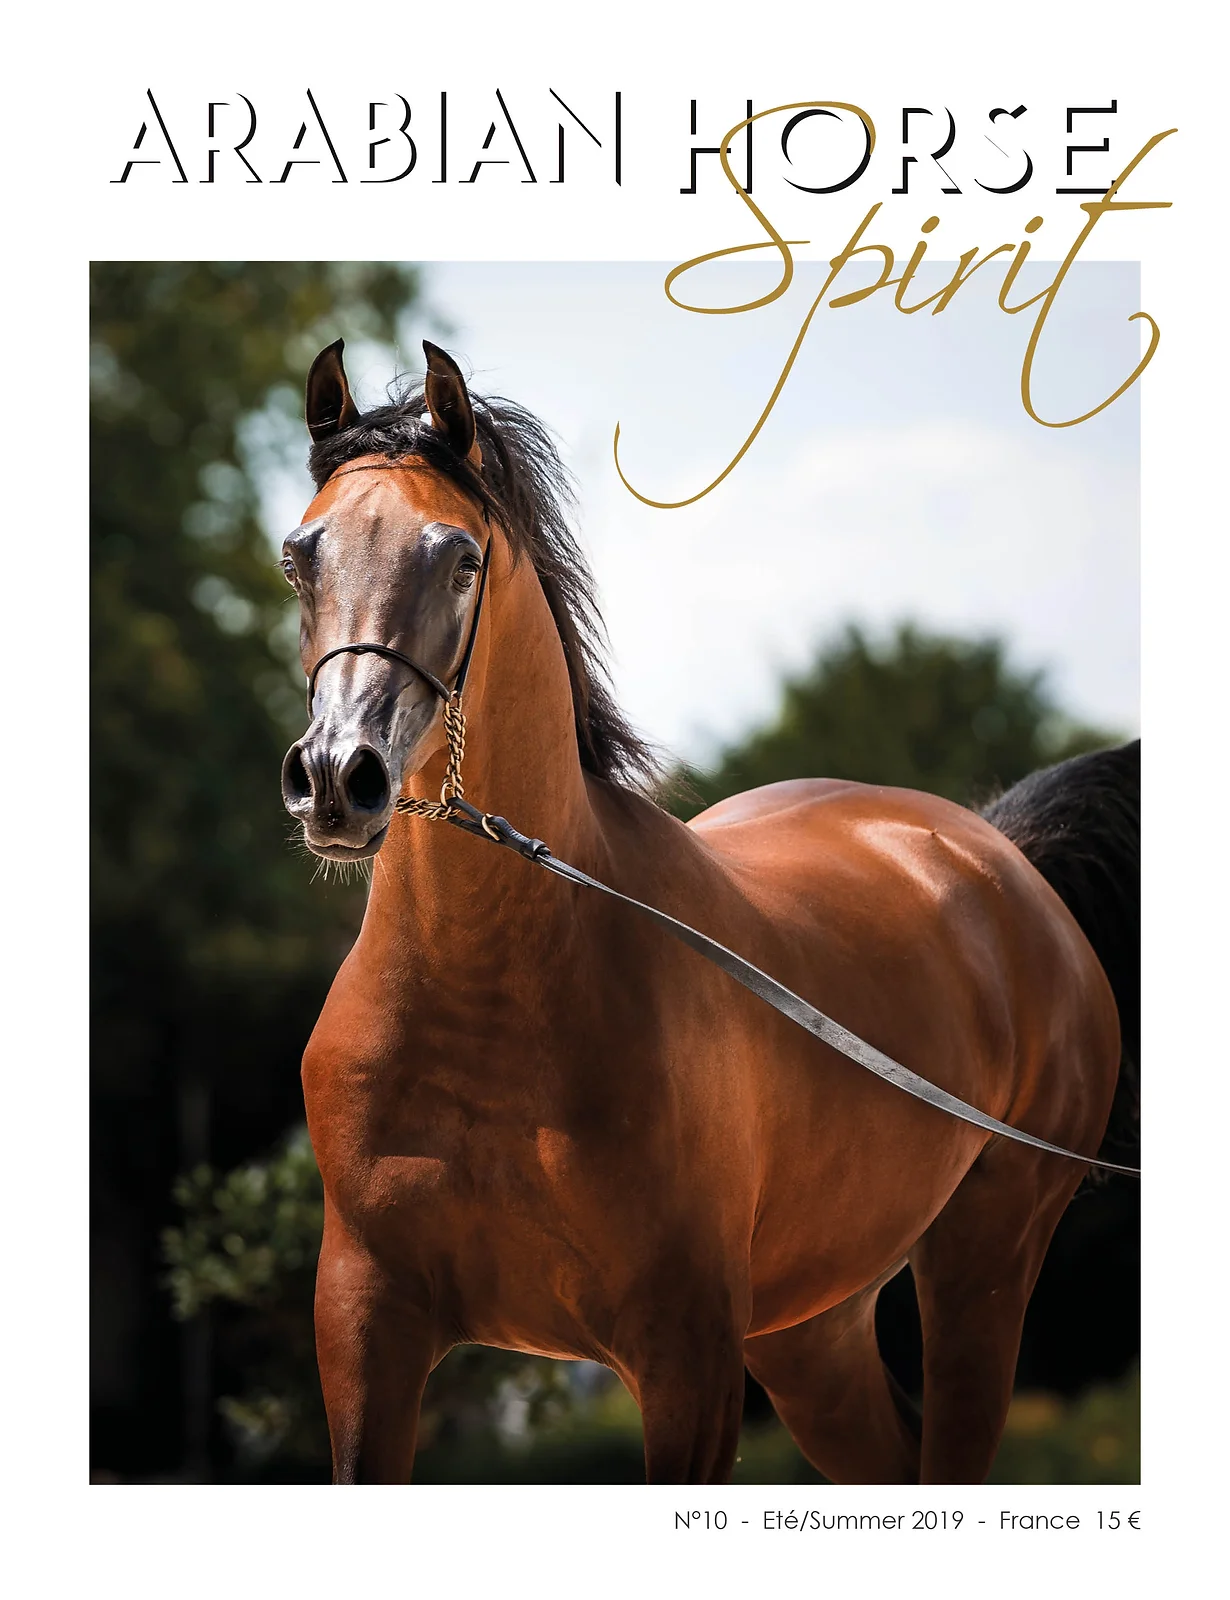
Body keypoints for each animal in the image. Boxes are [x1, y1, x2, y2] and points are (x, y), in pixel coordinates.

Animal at [279, 337, 1137, 1485]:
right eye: (301, 554)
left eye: (459, 558)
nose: (339, 779)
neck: (489, 1004)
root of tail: (1002, 856)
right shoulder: (365, 1333)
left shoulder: (685, 1357)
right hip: (811, 1328)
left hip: (981, 1265)